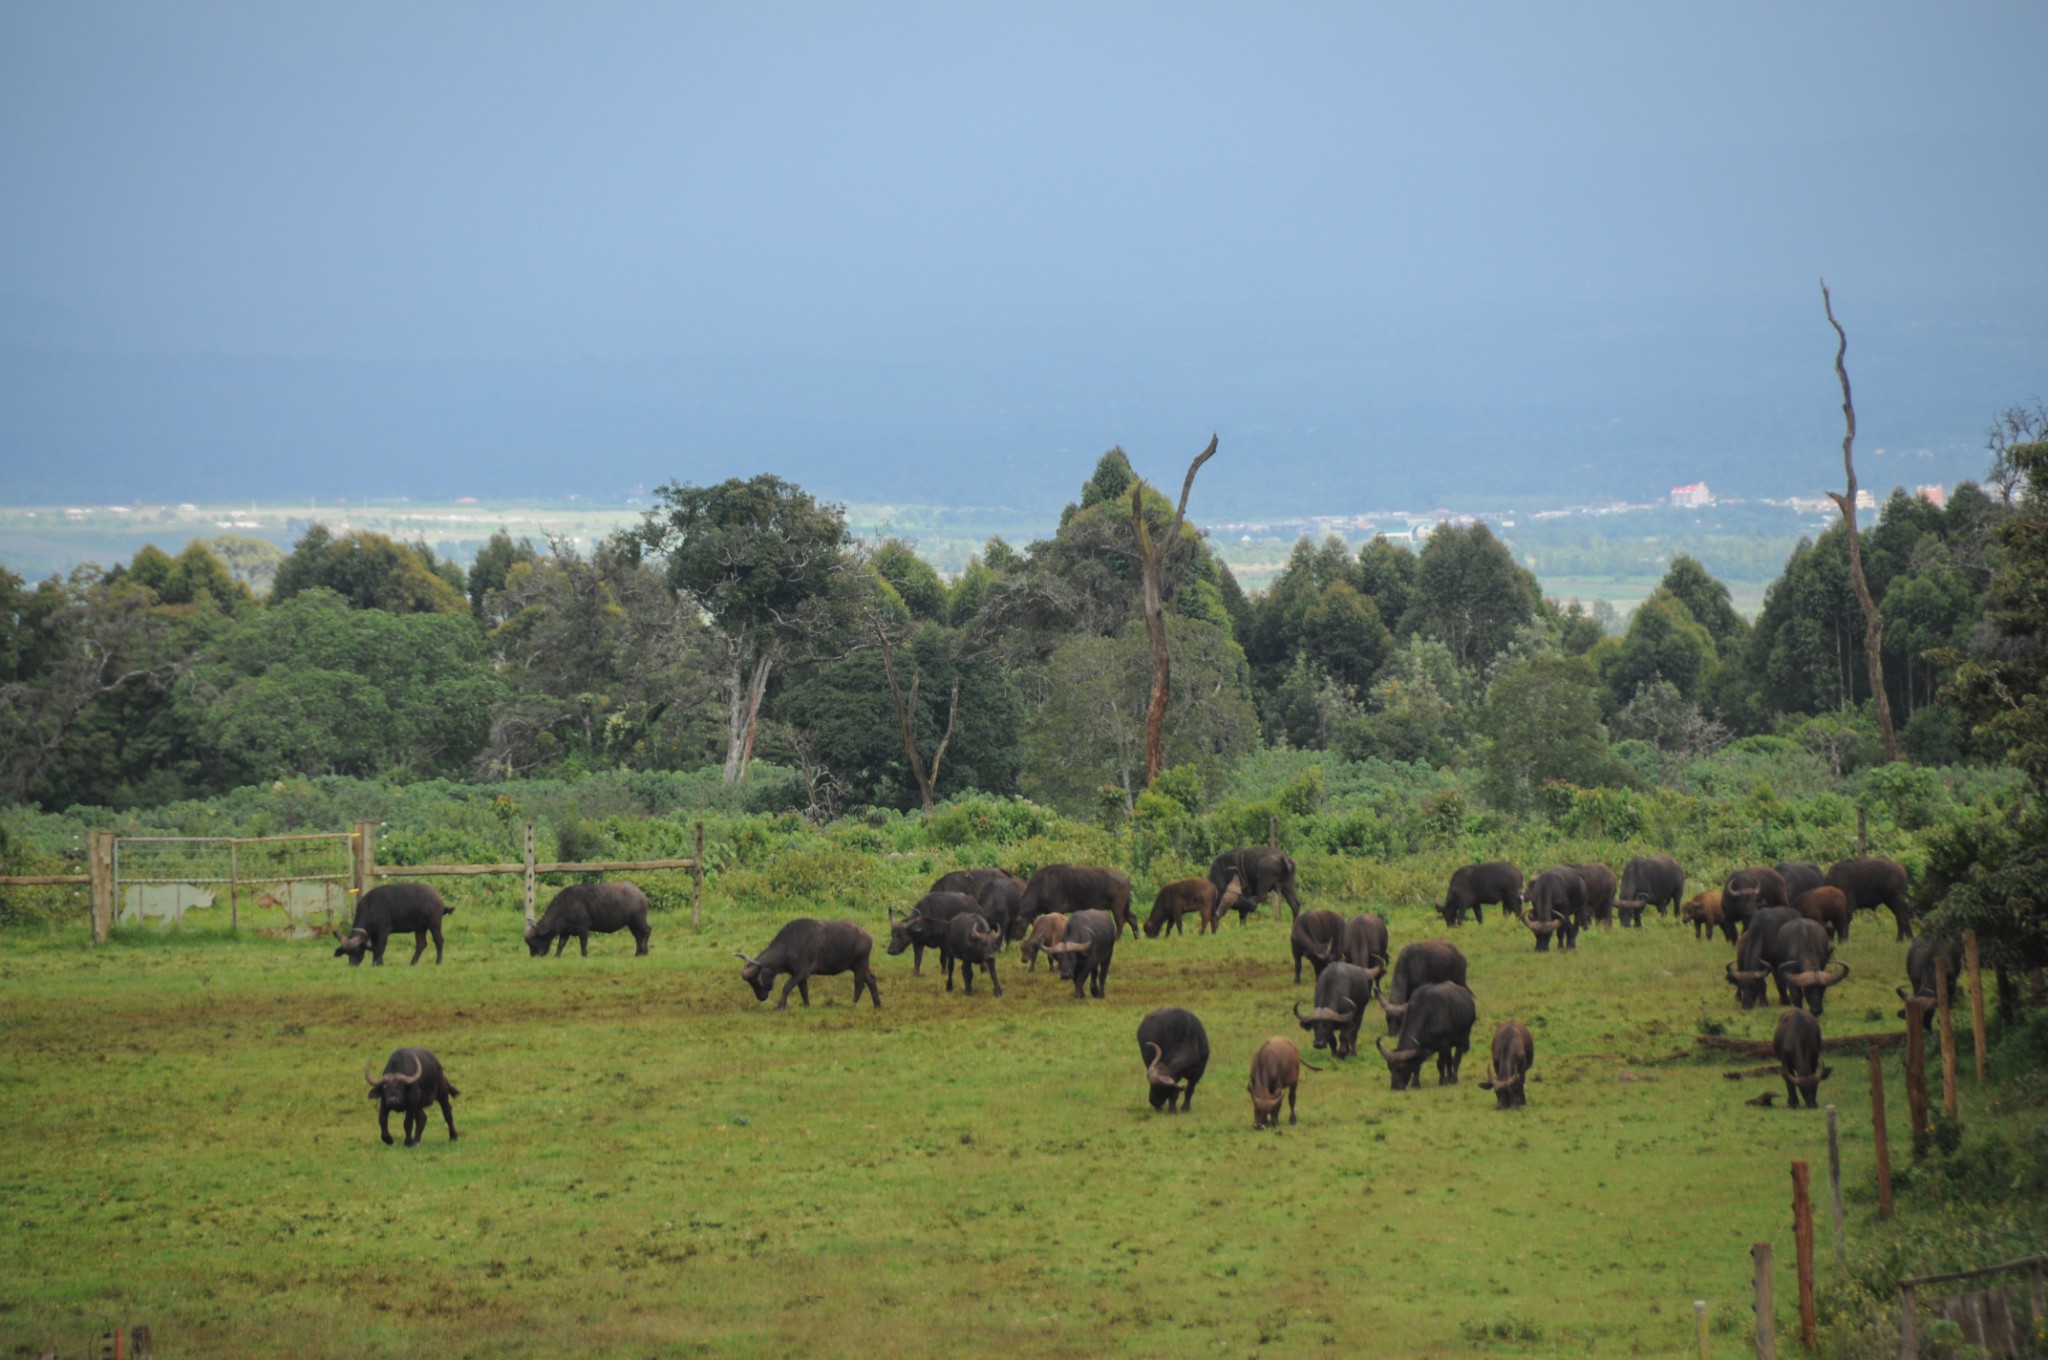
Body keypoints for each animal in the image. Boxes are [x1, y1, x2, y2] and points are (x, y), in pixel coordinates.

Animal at [737, 913, 880, 1007]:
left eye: (756, 981)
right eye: (750, 983)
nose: (761, 997)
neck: (789, 945)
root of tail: (868, 936)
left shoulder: (801, 972)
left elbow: (787, 987)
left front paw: (781, 1006)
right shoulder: (801, 976)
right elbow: (804, 991)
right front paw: (807, 1005)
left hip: (860, 963)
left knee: (859, 984)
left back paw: (853, 1004)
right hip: (858, 965)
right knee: (871, 979)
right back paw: (878, 1004)